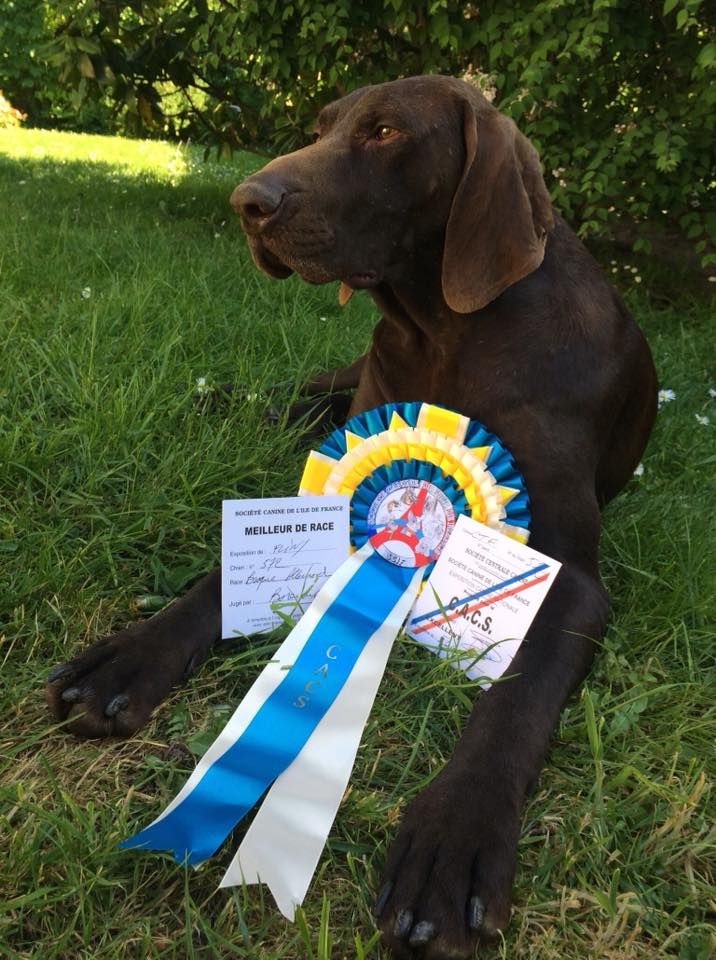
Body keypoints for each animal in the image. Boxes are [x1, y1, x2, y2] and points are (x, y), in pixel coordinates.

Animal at [47, 79, 656, 956]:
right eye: (321, 128)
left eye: (386, 131)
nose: (248, 202)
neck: (448, 331)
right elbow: (216, 581)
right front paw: (130, 656)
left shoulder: (568, 578)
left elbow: (514, 700)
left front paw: (455, 838)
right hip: (337, 387)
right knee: (295, 396)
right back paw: (215, 402)